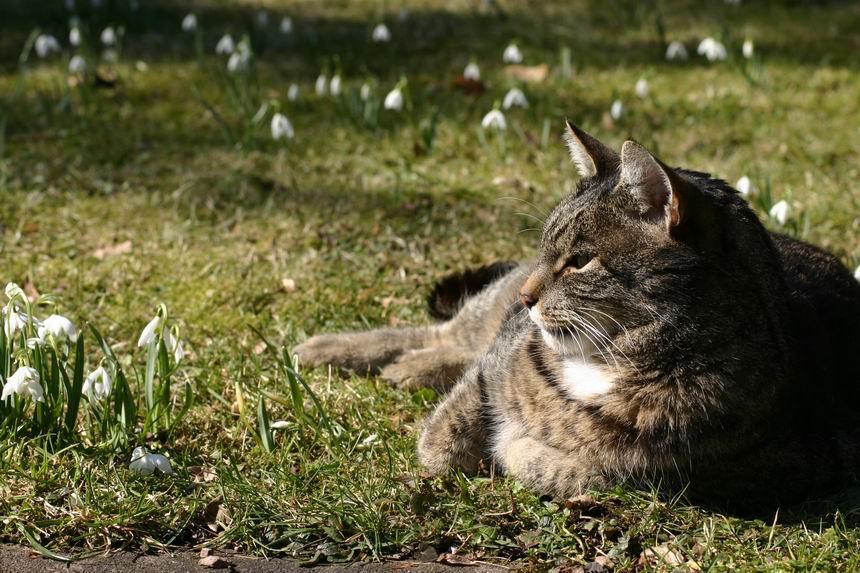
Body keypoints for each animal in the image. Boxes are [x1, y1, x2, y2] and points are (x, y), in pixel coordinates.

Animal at [296, 122, 860, 504]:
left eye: (579, 261)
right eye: (546, 250)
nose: (527, 297)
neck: (609, 358)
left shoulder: (757, 467)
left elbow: (581, 466)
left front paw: (521, 450)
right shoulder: (499, 359)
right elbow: (453, 425)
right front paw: (448, 447)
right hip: (488, 310)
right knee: (444, 336)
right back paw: (330, 350)